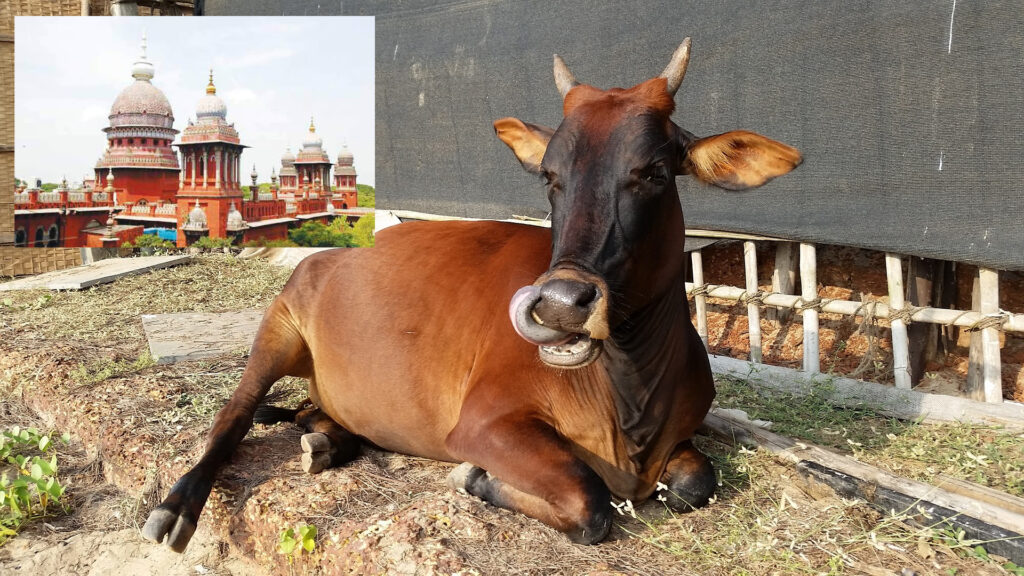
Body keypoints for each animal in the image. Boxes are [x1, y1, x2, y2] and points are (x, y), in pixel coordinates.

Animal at [143, 38, 801, 551]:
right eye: (550, 176)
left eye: (655, 172)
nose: (560, 305)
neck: (630, 395)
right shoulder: (485, 423)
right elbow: (589, 502)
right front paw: (478, 480)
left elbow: (695, 484)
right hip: (278, 329)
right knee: (233, 414)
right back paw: (178, 505)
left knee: (313, 413)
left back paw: (326, 440)